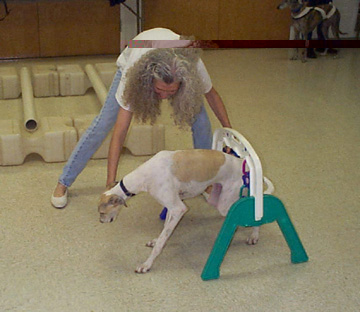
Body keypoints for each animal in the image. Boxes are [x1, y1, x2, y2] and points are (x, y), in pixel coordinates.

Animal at [97, 149, 270, 272]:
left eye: (102, 213)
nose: (101, 221)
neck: (145, 175)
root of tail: (242, 163)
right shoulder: (172, 207)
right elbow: (164, 232)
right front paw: (155, 241)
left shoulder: (178, 208)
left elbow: (162, 240)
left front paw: (146, 264)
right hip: (217, 198)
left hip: (225, 204)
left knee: (253, 211)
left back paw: (254, 236)